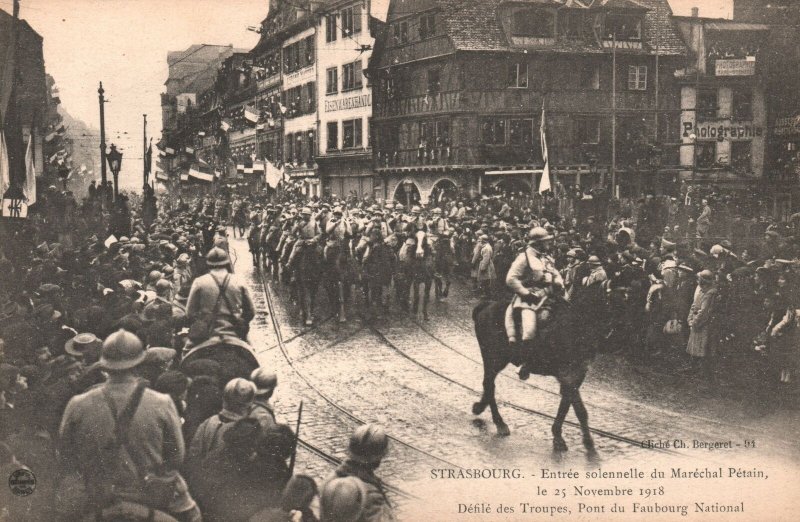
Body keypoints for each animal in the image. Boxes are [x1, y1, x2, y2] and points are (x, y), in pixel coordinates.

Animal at [472, 284, 608, 456]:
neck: (576, 326)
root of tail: (487, 305)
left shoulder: (576, 376)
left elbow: (567, 406)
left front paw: (560, 436)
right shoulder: (568, 376)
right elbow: (579, 410)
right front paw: (584, 441)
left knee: (488, 385)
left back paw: (480, 407)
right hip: (494, 358)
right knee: (489, 385)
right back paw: (500, 423)